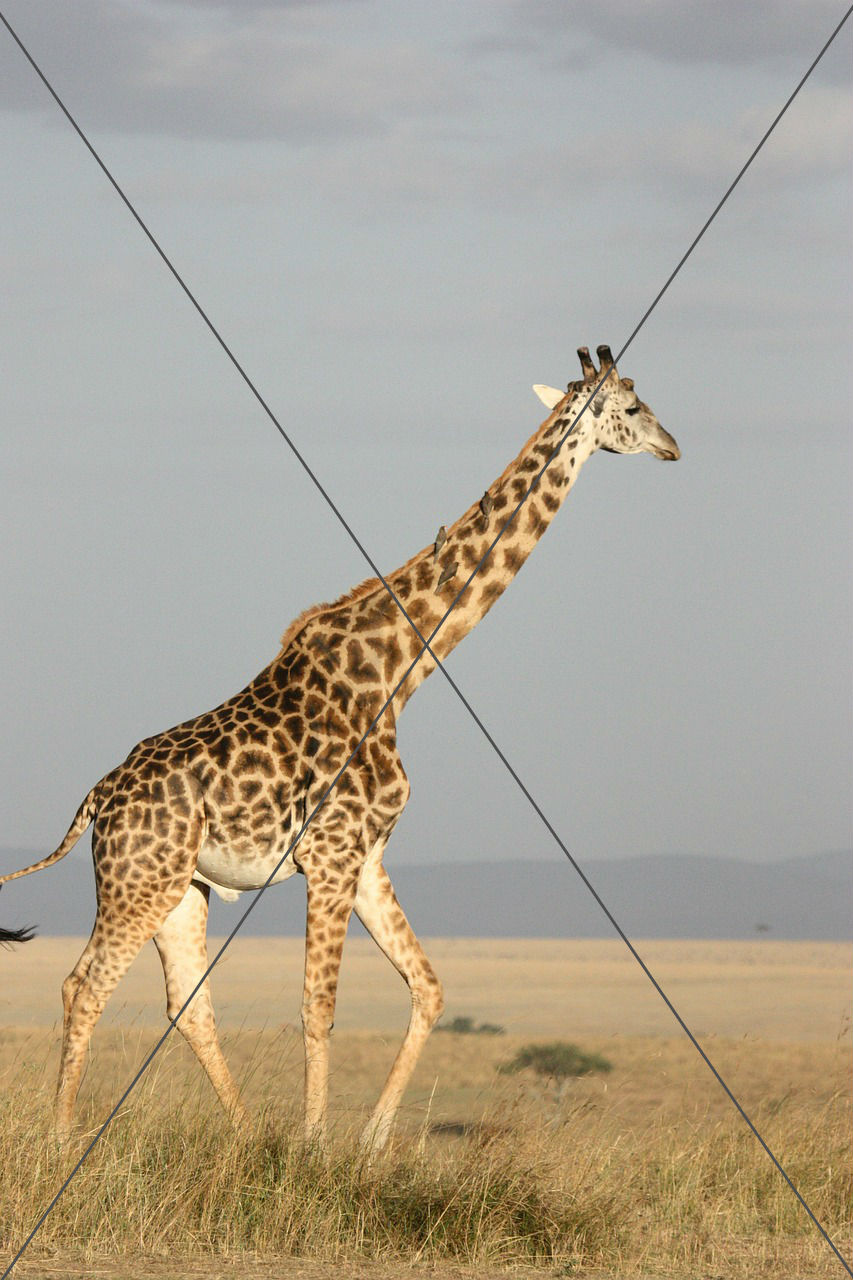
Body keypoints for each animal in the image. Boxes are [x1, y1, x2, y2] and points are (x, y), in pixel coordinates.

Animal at [1, 346, 679, 1148]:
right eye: (632, 408)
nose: (673, 446)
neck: (399, 669)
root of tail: (96, 800)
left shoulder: (367, 854)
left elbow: (428, 987)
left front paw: (371, 1142)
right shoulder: (329, 854)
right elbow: (317, 1008)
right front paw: (315, 1145)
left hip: (180, 888)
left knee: (186, 1003)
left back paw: (244, 1134)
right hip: (139, 881)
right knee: (83, 986)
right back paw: (62, 1139)